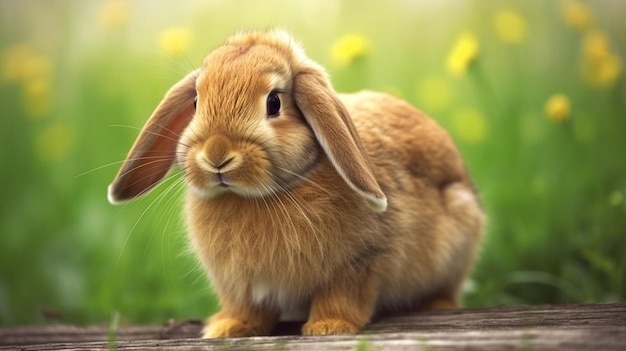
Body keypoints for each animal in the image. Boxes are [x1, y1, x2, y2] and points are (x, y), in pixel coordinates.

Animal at [108, 29, 482, 338]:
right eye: (197, 102)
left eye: (274, 102)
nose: (217, 155)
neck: (260, 196)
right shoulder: (241, 285)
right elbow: (246, 308)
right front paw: (228, 328)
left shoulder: (360, 263)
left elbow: (342, 296)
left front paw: (328, 327)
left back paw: (436, 305)